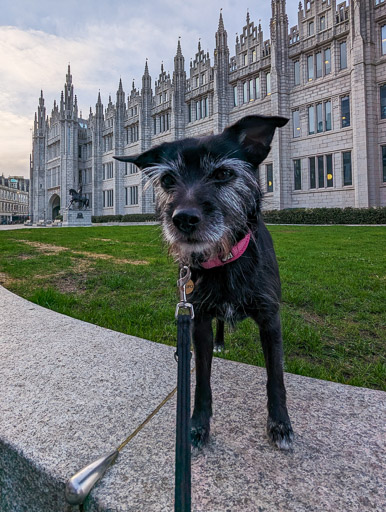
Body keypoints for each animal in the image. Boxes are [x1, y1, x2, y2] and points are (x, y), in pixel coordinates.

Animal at [114, 115, 292, 448]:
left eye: (223, 173)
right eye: (167, 180)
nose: (183, 219)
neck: (225, 260)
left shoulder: (270, 320)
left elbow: (275, 376)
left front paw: (280, 423)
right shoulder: (199, 321)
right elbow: (201, 379)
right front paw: (196, 425)